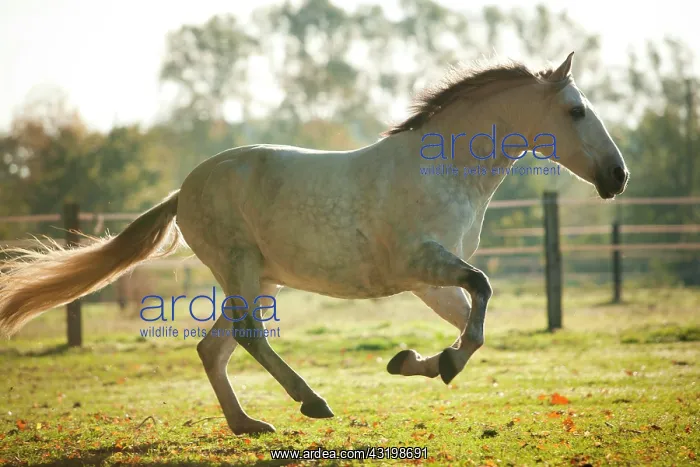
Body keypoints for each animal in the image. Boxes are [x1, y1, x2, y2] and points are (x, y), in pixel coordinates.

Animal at [0, 52, 629, 435]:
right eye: (576, 110)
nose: (617, 177)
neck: (443, 171)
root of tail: (184, 190)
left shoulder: (429, 281)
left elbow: (472, 325)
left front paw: (415, 362)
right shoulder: (422, 263)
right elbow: (483, 292)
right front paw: (436, 363)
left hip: (259, 278)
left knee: (213, 349)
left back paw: (248, 425)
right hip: (241, 269)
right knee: (247, 338)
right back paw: (312, 402)